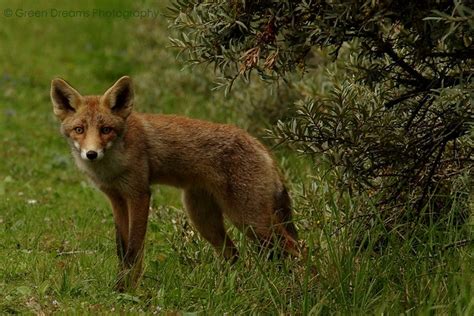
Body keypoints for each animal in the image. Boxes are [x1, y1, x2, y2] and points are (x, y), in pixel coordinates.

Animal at [49, 76, 300, 288]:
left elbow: (134, 250)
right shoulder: (117, 199)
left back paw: (300, 286)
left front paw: (129, 290)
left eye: (106, 130)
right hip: (203, 218)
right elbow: (121, 249)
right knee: (234, 254)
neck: (112, 167)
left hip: (249, 219)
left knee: (296, 247)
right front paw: (120, 287)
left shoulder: (139, 195)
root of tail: (263, 147)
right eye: (79, 129)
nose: (91, 154)